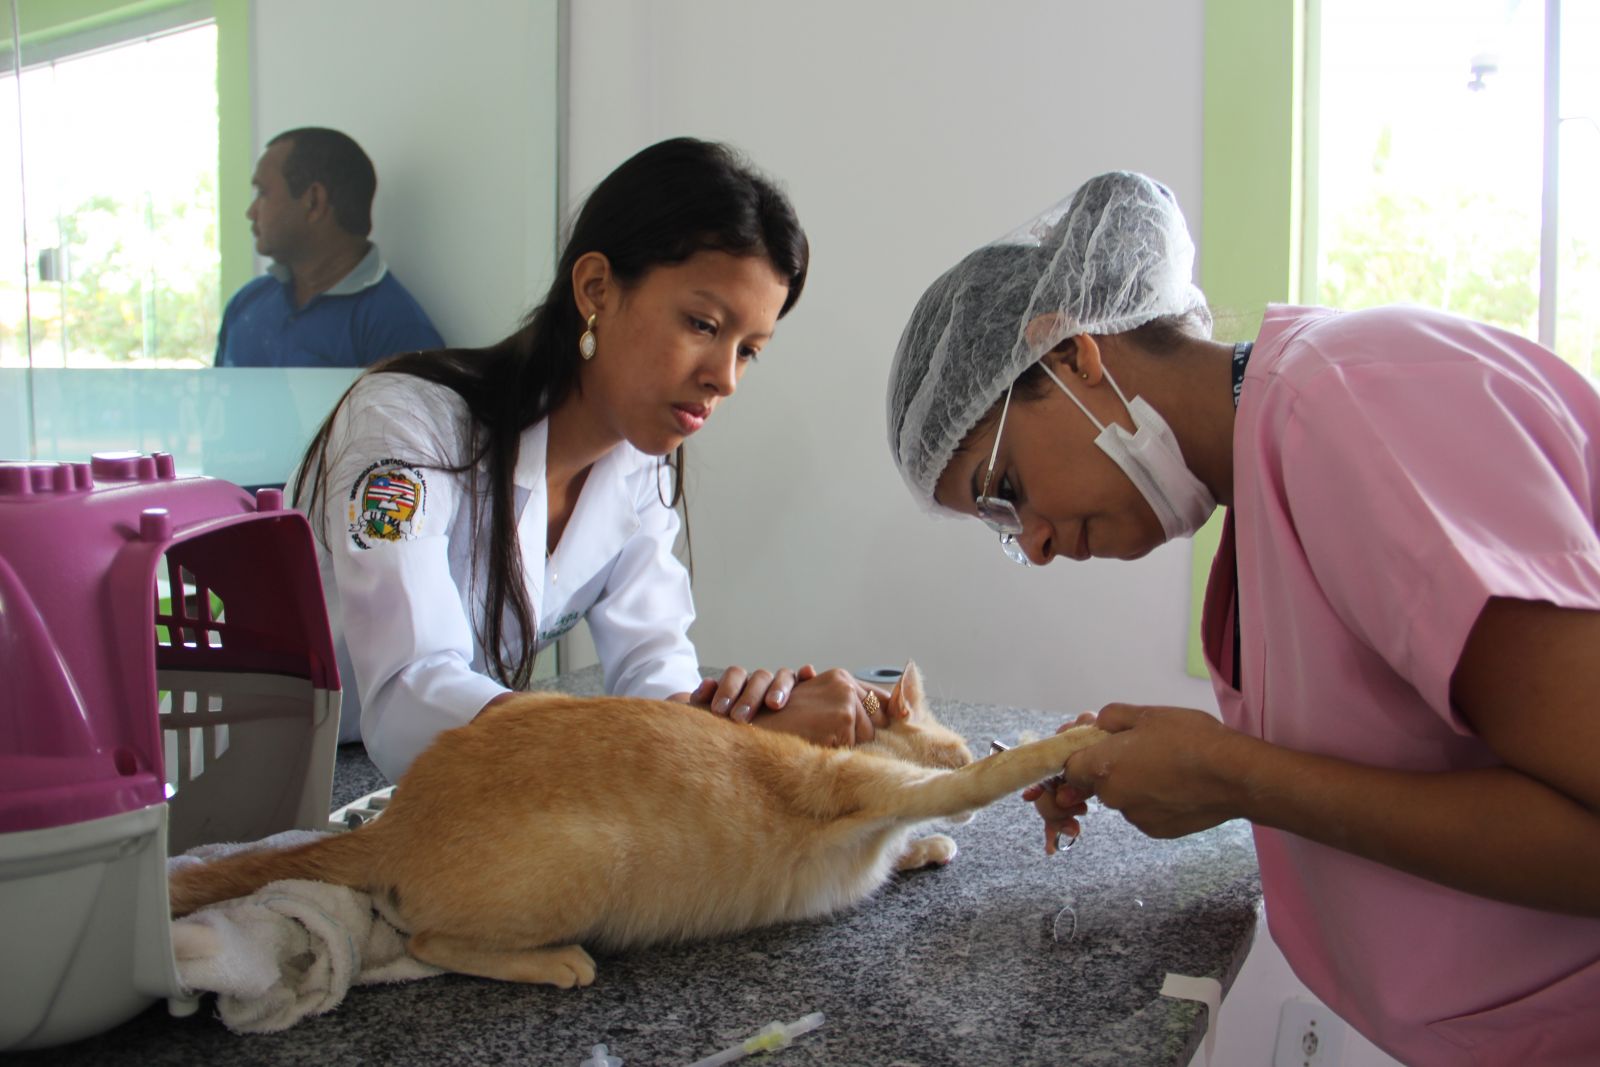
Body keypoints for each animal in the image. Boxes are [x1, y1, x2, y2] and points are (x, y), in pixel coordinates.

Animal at [168, 662, 1107, 991]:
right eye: (959, 743)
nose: (964, 744)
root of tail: (393, 817)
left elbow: (916, 830)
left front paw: (930, 844)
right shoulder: (866, 789)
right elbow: (966, 785)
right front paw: (1067, 743)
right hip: (592, 860)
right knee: (427, 940)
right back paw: (558, 963)